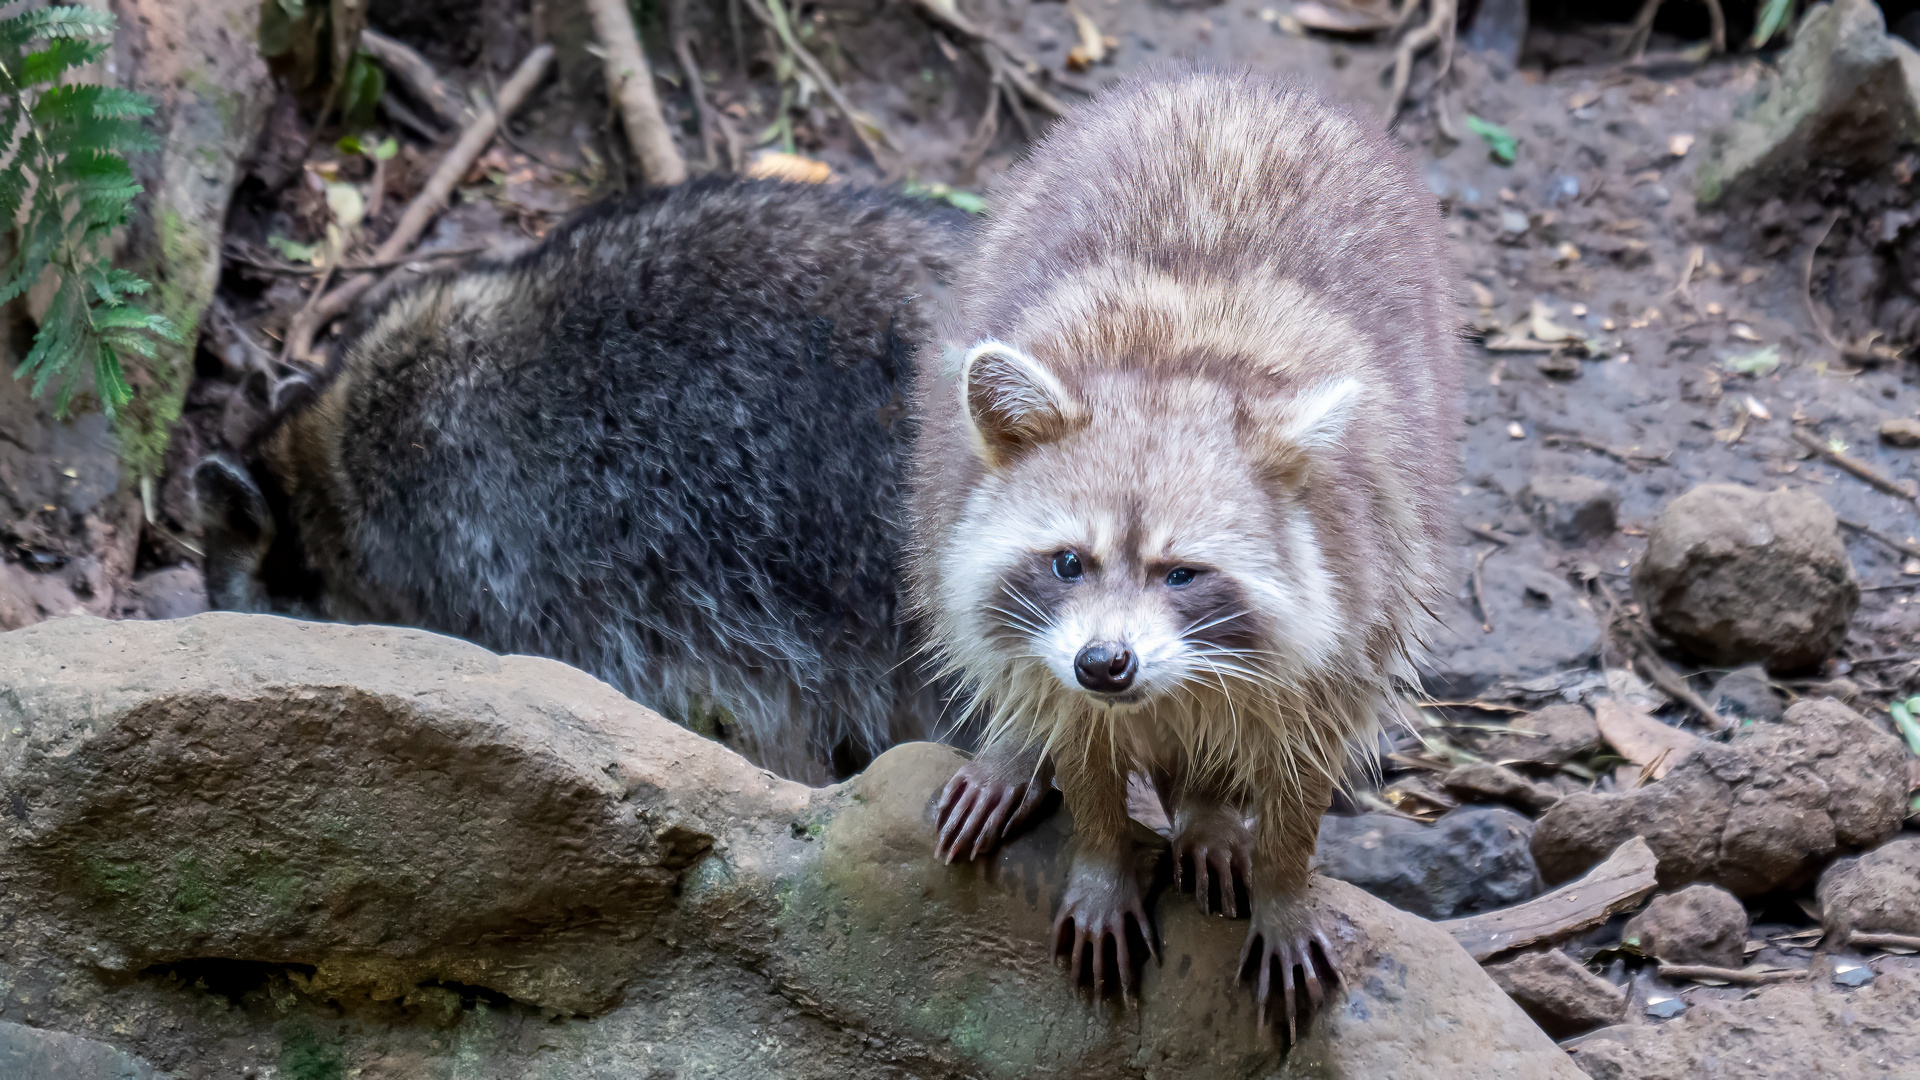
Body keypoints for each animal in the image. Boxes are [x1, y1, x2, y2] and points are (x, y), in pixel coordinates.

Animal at [906, 69, 1459, 1022]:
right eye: (1069, 562)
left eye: (1183, 574)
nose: (1105, 663)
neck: (1175, 366)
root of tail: (1237, 82)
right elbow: (1078, 739)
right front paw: (1100, 856)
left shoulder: (1361, 592)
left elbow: (1303, 757)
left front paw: (1283, 881)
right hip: (948, 460)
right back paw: (1016, 748)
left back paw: (1206, 810)